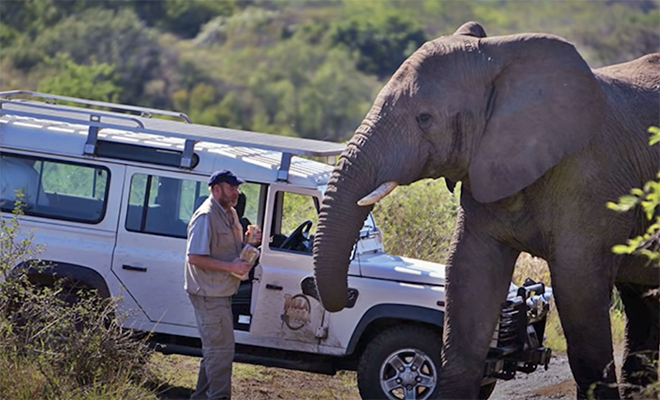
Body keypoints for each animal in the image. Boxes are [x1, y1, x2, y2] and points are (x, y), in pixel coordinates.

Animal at [314, 22, 660, 400]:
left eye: (425, 118)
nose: (348, 295)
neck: (501, 58)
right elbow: (469, 278)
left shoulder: (591, 179)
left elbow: (577, 292)